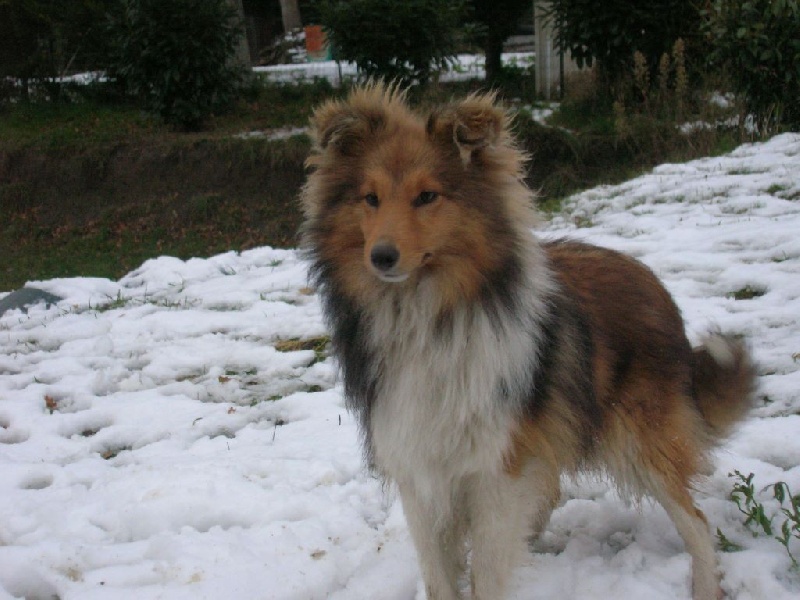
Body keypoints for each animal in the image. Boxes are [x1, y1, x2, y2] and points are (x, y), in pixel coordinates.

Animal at [299, 83, 755, 600]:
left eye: (427, 196)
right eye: (370, 198)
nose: (381, 257)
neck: (426, 316)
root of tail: (654, 283)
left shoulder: (497, 467)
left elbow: (486, 573)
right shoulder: (419, 467)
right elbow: (441, 575)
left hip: (642, 441)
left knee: (696, 521)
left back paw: (705, 585)